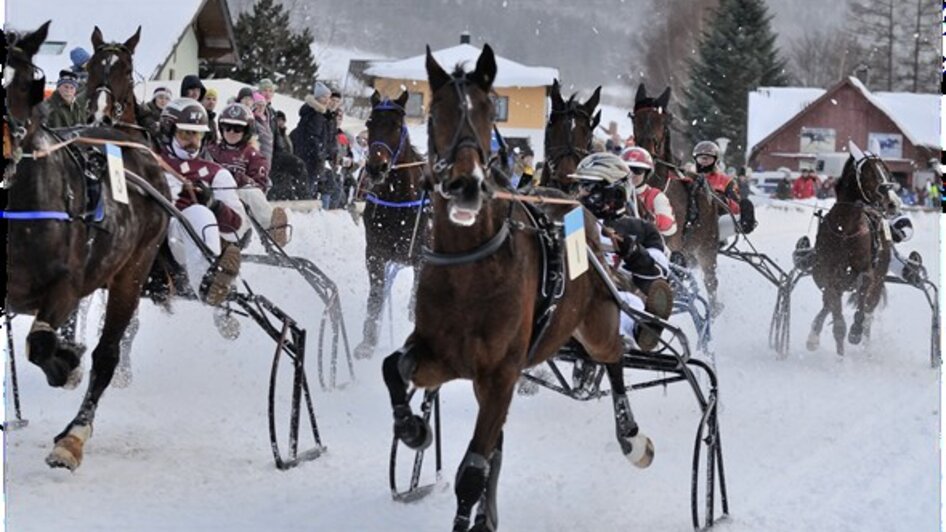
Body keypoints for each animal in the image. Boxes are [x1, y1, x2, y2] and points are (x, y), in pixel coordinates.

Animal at [4, 20, 171, 470]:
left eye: (27, 82)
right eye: (93, 69)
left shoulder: (66, 285)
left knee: (108, 354)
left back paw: (73, 435)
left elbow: (42, 344)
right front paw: (67, 355)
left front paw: (68, 364)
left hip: (133, 272)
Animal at [350, 89, 428, 360]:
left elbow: (416, 302)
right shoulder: (375, 252)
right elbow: (376, 296)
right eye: (369, 123)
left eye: (396, 125)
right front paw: (367, 343)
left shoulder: (423, 259)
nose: (376, 167)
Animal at [380, 43, 652, 528]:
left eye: (490, 111)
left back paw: (631, 436)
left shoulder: (500, 373)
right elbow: (394, 366)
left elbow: (473, 469)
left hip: (597, 322)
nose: (465, 184)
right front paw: (413, 428)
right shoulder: (442, 355)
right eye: (434, 113)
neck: (472, 265)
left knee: (614, 358)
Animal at [804, 143, 900, 356]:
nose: (893, 202)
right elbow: (833, 306)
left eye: (888, 172)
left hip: (880, 275)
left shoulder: (866, 270)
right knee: (828, 302)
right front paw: (838, 349)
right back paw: (814, 334)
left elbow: (863, 284)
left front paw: (855, 331)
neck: (845, 230)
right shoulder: (824, 273)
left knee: (869, 307)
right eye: (871, 173)